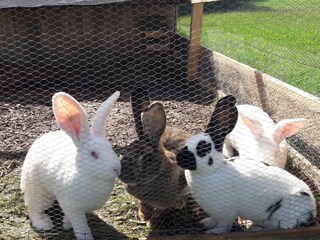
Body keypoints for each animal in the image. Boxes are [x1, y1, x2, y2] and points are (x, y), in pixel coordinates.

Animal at [20, 91, 121, 239]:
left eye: (111, 147)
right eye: (93, 154)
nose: (117, 168)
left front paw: (67, 224)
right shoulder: (74, 209)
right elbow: (81, 226)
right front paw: (85, 236)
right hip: (38, 192)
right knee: (34, 209)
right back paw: (44, 224)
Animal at [119, 86, 190, 225]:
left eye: (147, 158)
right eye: (125, 153)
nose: (121, 175)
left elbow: (161, 210)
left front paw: (152, 221)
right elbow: (144, 204)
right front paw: (142, 215)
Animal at [176, 96, 316, 234]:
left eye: (203, 149)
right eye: (186, 143)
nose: (179, 159)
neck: (212, 170)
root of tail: (312, 211)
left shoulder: (226, 212)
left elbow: (224, 226)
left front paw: (212, 232)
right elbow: (214, 220)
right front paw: (206, 223)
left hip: (281, 220)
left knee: (276, 228)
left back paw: (254, 229)